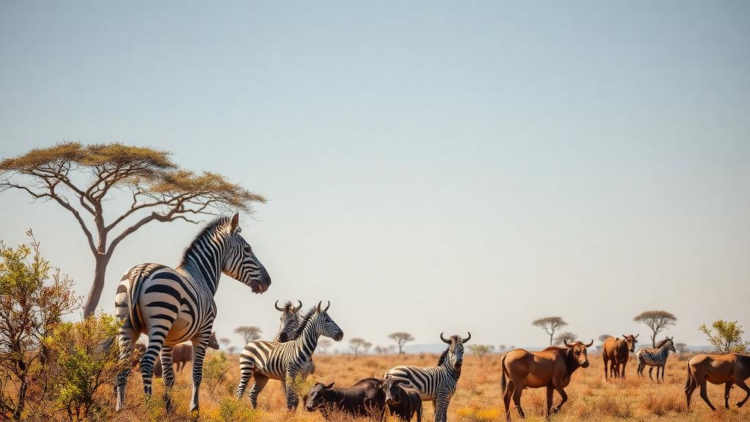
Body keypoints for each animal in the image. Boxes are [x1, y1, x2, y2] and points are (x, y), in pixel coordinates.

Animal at [113, 214, 271, 413]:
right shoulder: (203, 332)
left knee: (122, 364)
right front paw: (194, 408)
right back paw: (148, 407)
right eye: (248, 249)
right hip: (160, 322)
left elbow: (169, 376)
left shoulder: (169, 340)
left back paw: (120, 408)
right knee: (147, 362)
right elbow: (196, 374)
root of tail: (141, 272)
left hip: (126, 325)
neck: (201, 275)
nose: (268, 281)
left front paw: (169, 407)